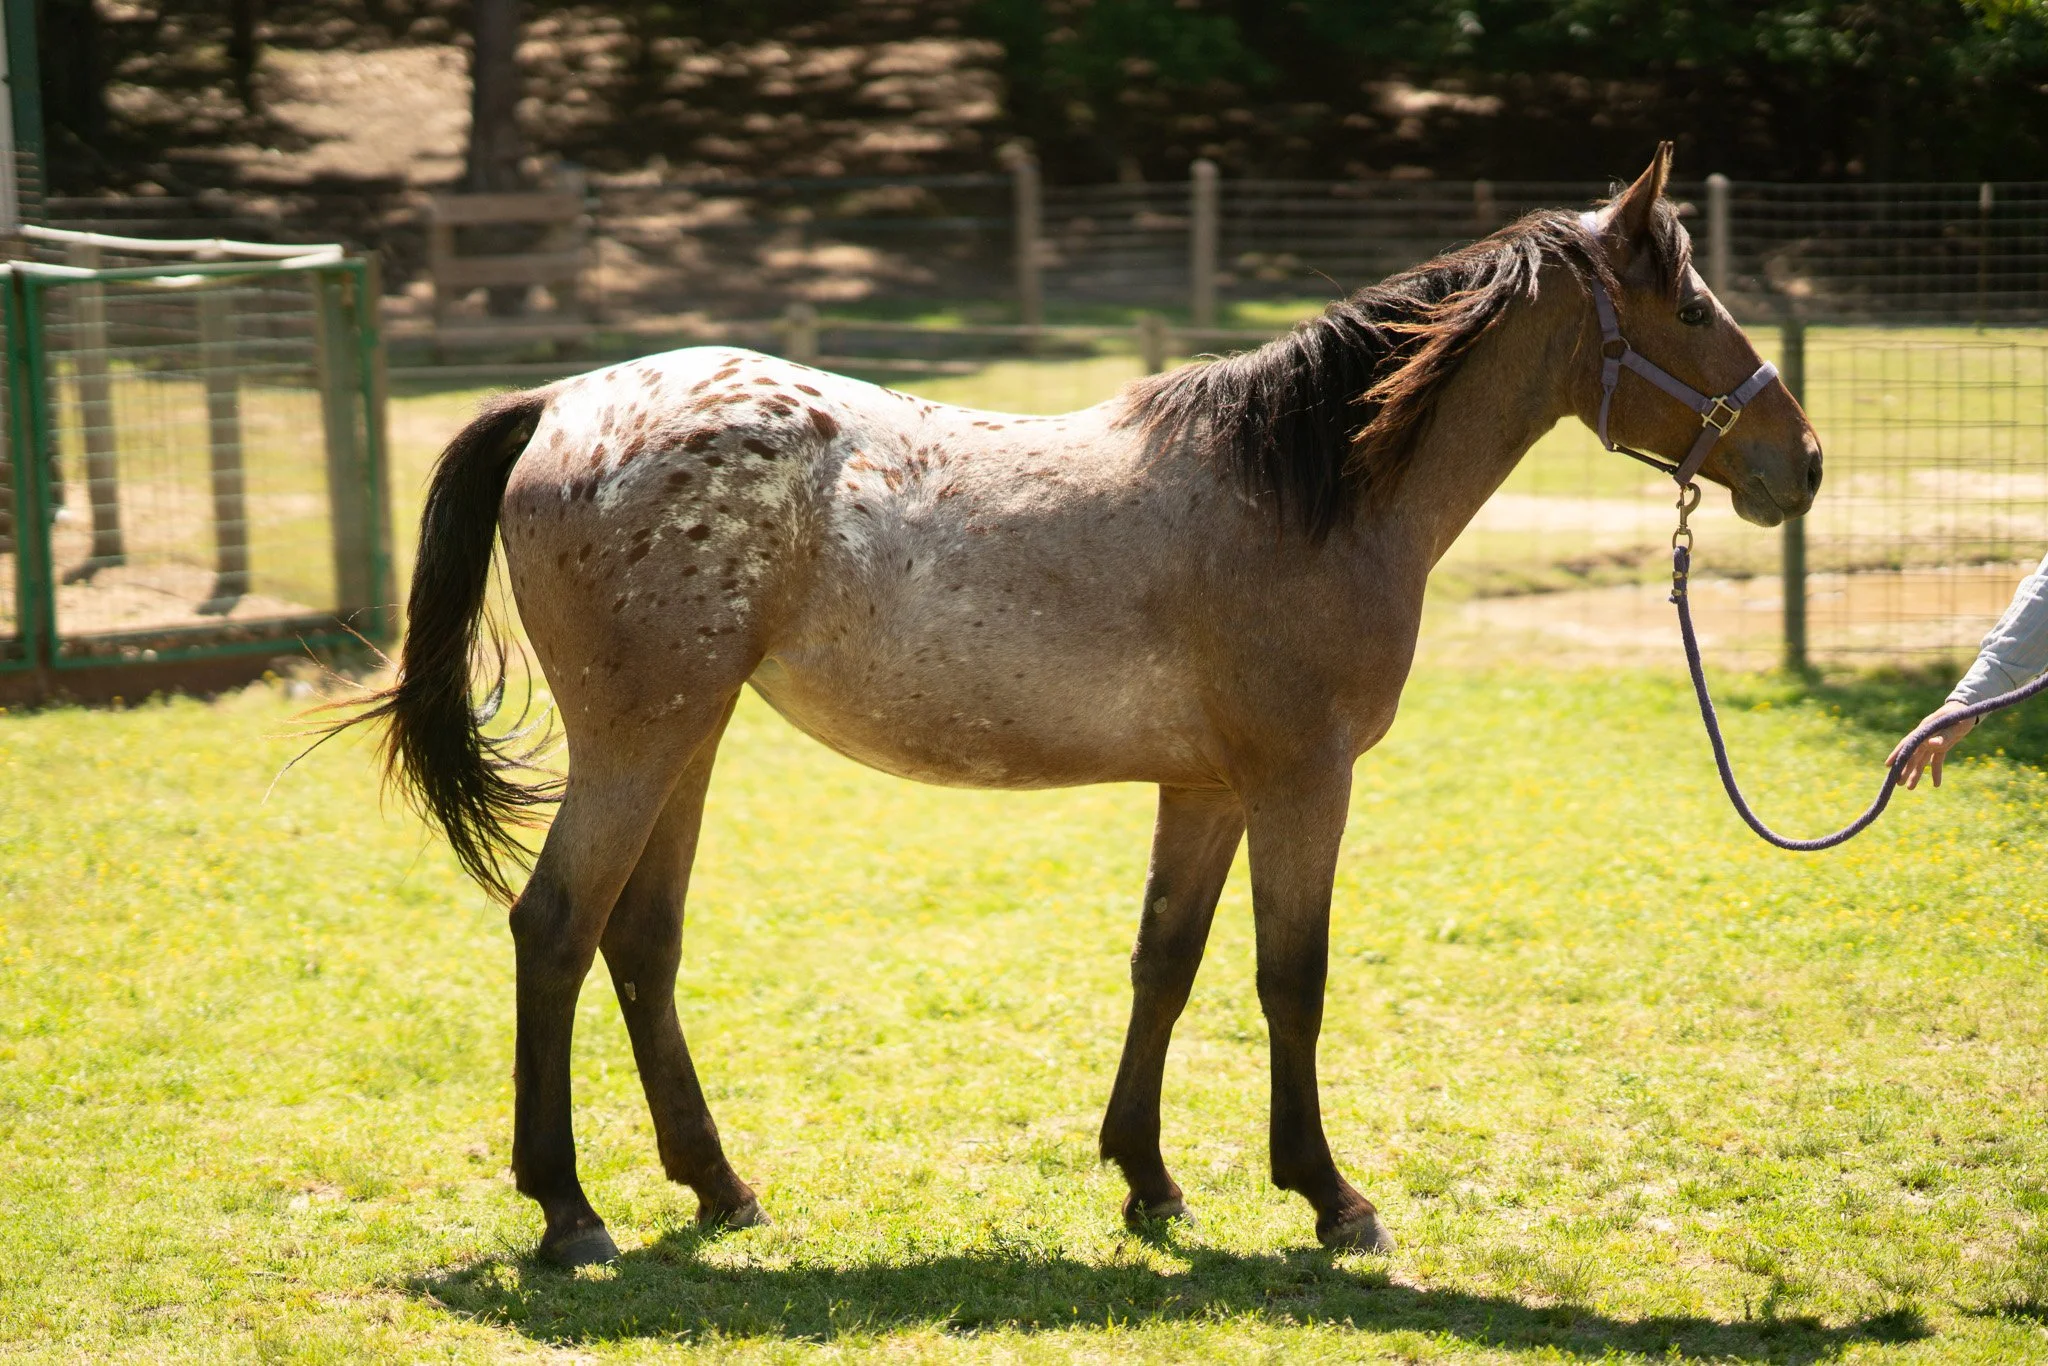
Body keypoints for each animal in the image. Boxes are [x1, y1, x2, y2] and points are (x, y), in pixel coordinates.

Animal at [342, 144, 1820, 1266]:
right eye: (1695, 310)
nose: (1798, 460)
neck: (1301, 487)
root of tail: (558, 401)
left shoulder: (1207, 786)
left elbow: (1166, 961)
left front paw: (1148, 1179)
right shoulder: (1302, 778)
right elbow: (1291, 977)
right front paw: (1329, 1196)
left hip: (688, 738)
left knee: (641, 942)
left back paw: (720, 1187)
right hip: (639, 741)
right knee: (555, 927)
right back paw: (569, 1211)